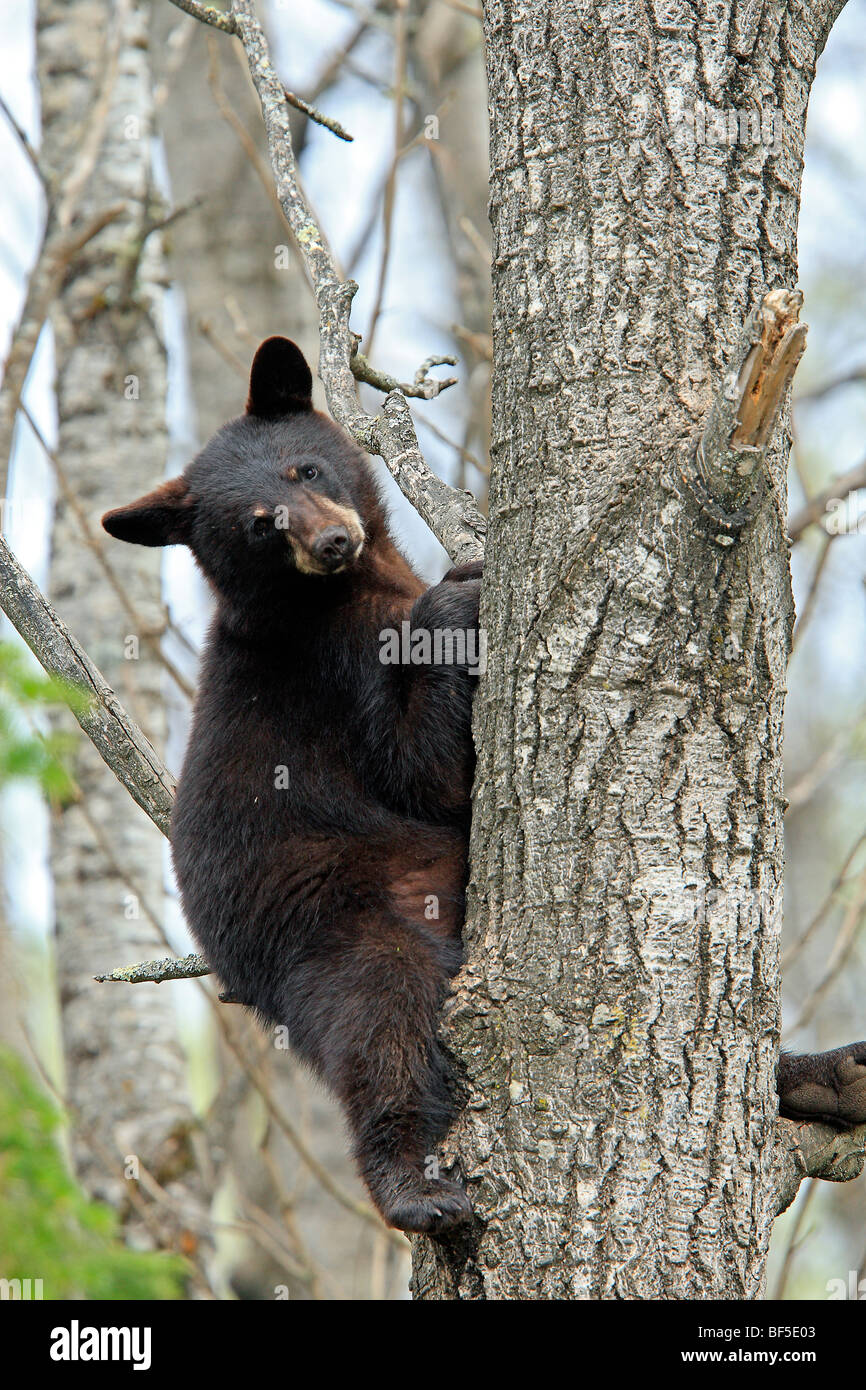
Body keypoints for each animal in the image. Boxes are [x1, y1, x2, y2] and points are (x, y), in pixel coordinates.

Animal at [104, 339, 866, 1239]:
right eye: (260, 523)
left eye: (306, 467)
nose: (332, 540)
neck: (339, 592)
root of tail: (237, 976)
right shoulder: (336, 673)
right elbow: (423, 771)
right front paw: (460, 591)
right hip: (332, 924)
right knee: (382, 1025)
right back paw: (412, 1187)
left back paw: (831, 1076)